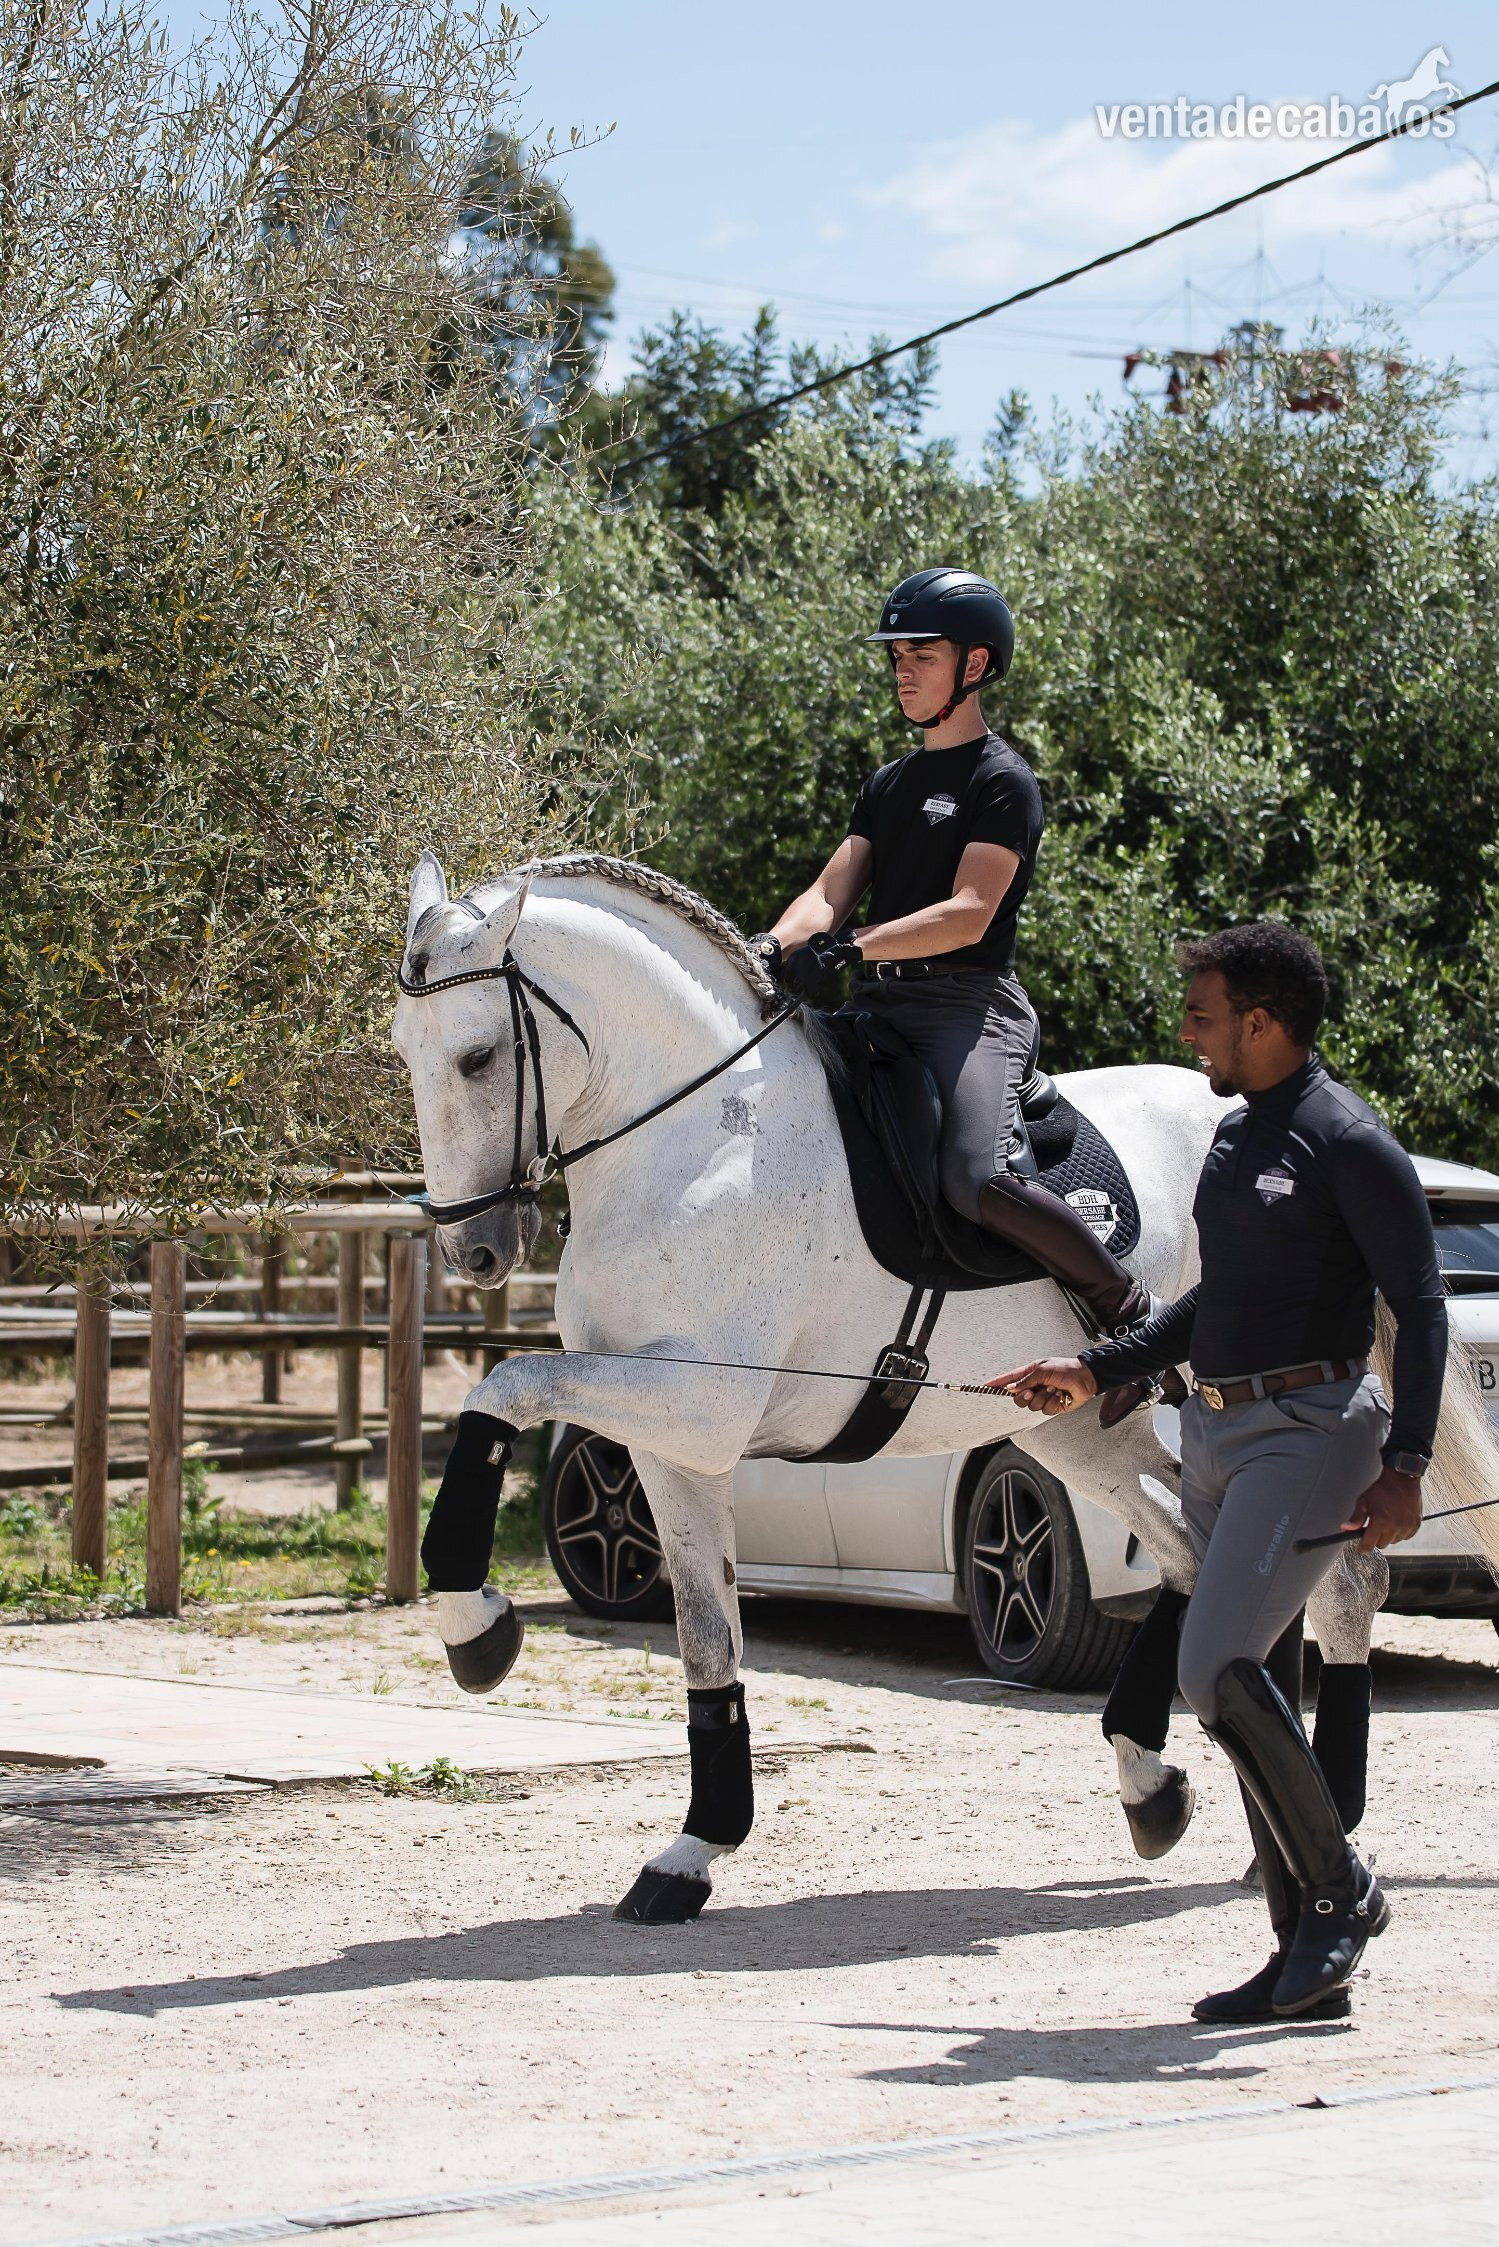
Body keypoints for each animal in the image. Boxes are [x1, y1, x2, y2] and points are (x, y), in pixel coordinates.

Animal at [393, 852, 1499, 1922]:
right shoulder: (676, 1447)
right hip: (1080, 1436)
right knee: (1199, 1563)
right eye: (405, 1053)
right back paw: (1166, 1791)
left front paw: (474, 1627)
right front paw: (691, 1854)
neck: (701, 1138)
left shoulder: (693, 1400)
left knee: (1334, 1584)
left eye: (479, 1057)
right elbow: (707, 1639)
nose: (474, 1251)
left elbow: (500, 1388)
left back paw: (1320, 1822)